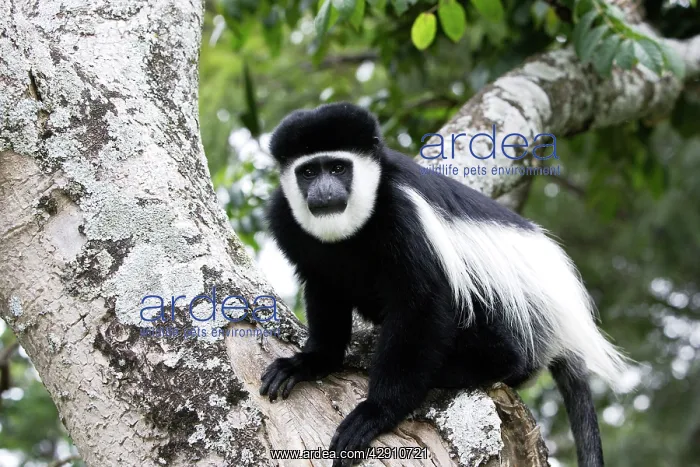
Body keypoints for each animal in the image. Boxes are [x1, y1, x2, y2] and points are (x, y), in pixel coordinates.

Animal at [259, 102, 627, 467]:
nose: (323, 192)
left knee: (503, 346)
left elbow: (421, 304)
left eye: (337, 168)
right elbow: (324, 292)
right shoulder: (287, 222)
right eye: (308, 172)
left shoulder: (403, 215)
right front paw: (309, 363)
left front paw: (375, 412)